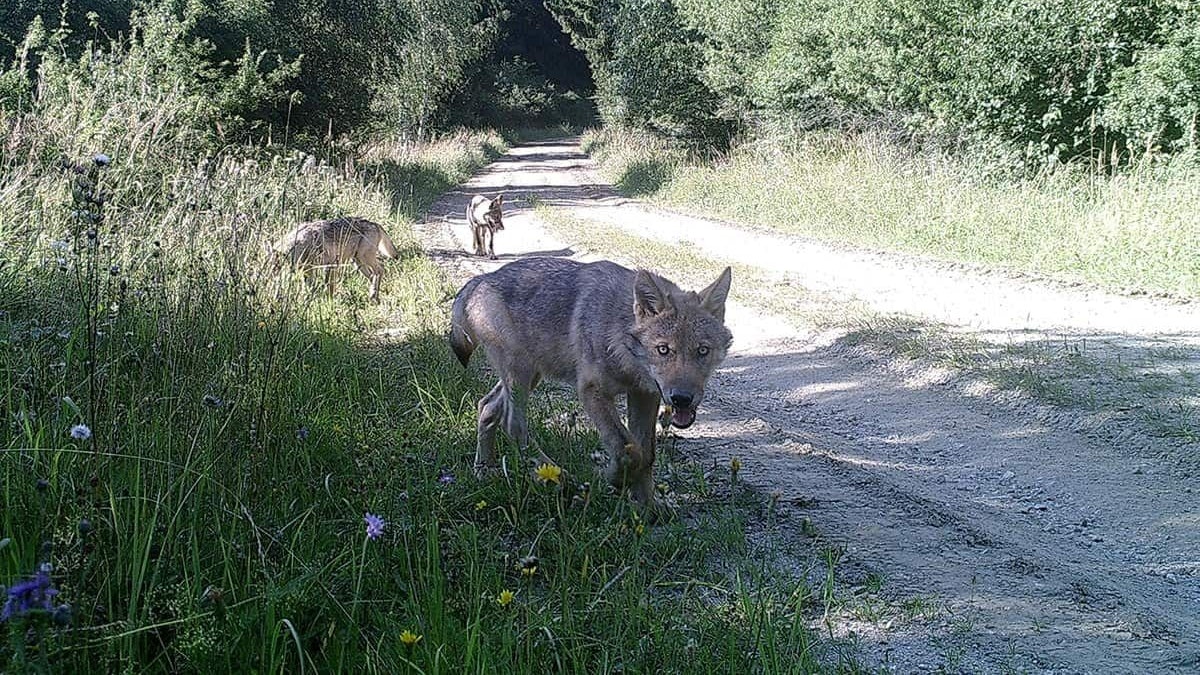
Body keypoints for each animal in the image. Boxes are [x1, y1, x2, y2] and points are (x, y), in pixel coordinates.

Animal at [266, 217, 398, 302]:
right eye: (271, 269)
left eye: (277, 268)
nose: (270, 278)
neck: (302, 244)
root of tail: (375, 223)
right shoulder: (309, 270)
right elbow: (309, 288)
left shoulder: (331, 265)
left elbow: (329, 287)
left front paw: (329, 303)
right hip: (358, 263)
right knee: (372, 275)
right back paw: (373, 295)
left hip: (364, 258)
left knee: (380, 270)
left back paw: (374, 295)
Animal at [450, 256, 733, 517]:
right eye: (663, 350)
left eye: (702, 351)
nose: (681, 399)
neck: (620, 340)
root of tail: (480, 279)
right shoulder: (591, 391)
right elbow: (629, 450)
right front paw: (612, 479)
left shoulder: (645, 394)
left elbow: (646, 453)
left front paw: (648, 509)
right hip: (520, 375)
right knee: (514, 426)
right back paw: (563, 479)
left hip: (530, 377)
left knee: (487, 406)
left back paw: (484, 470)